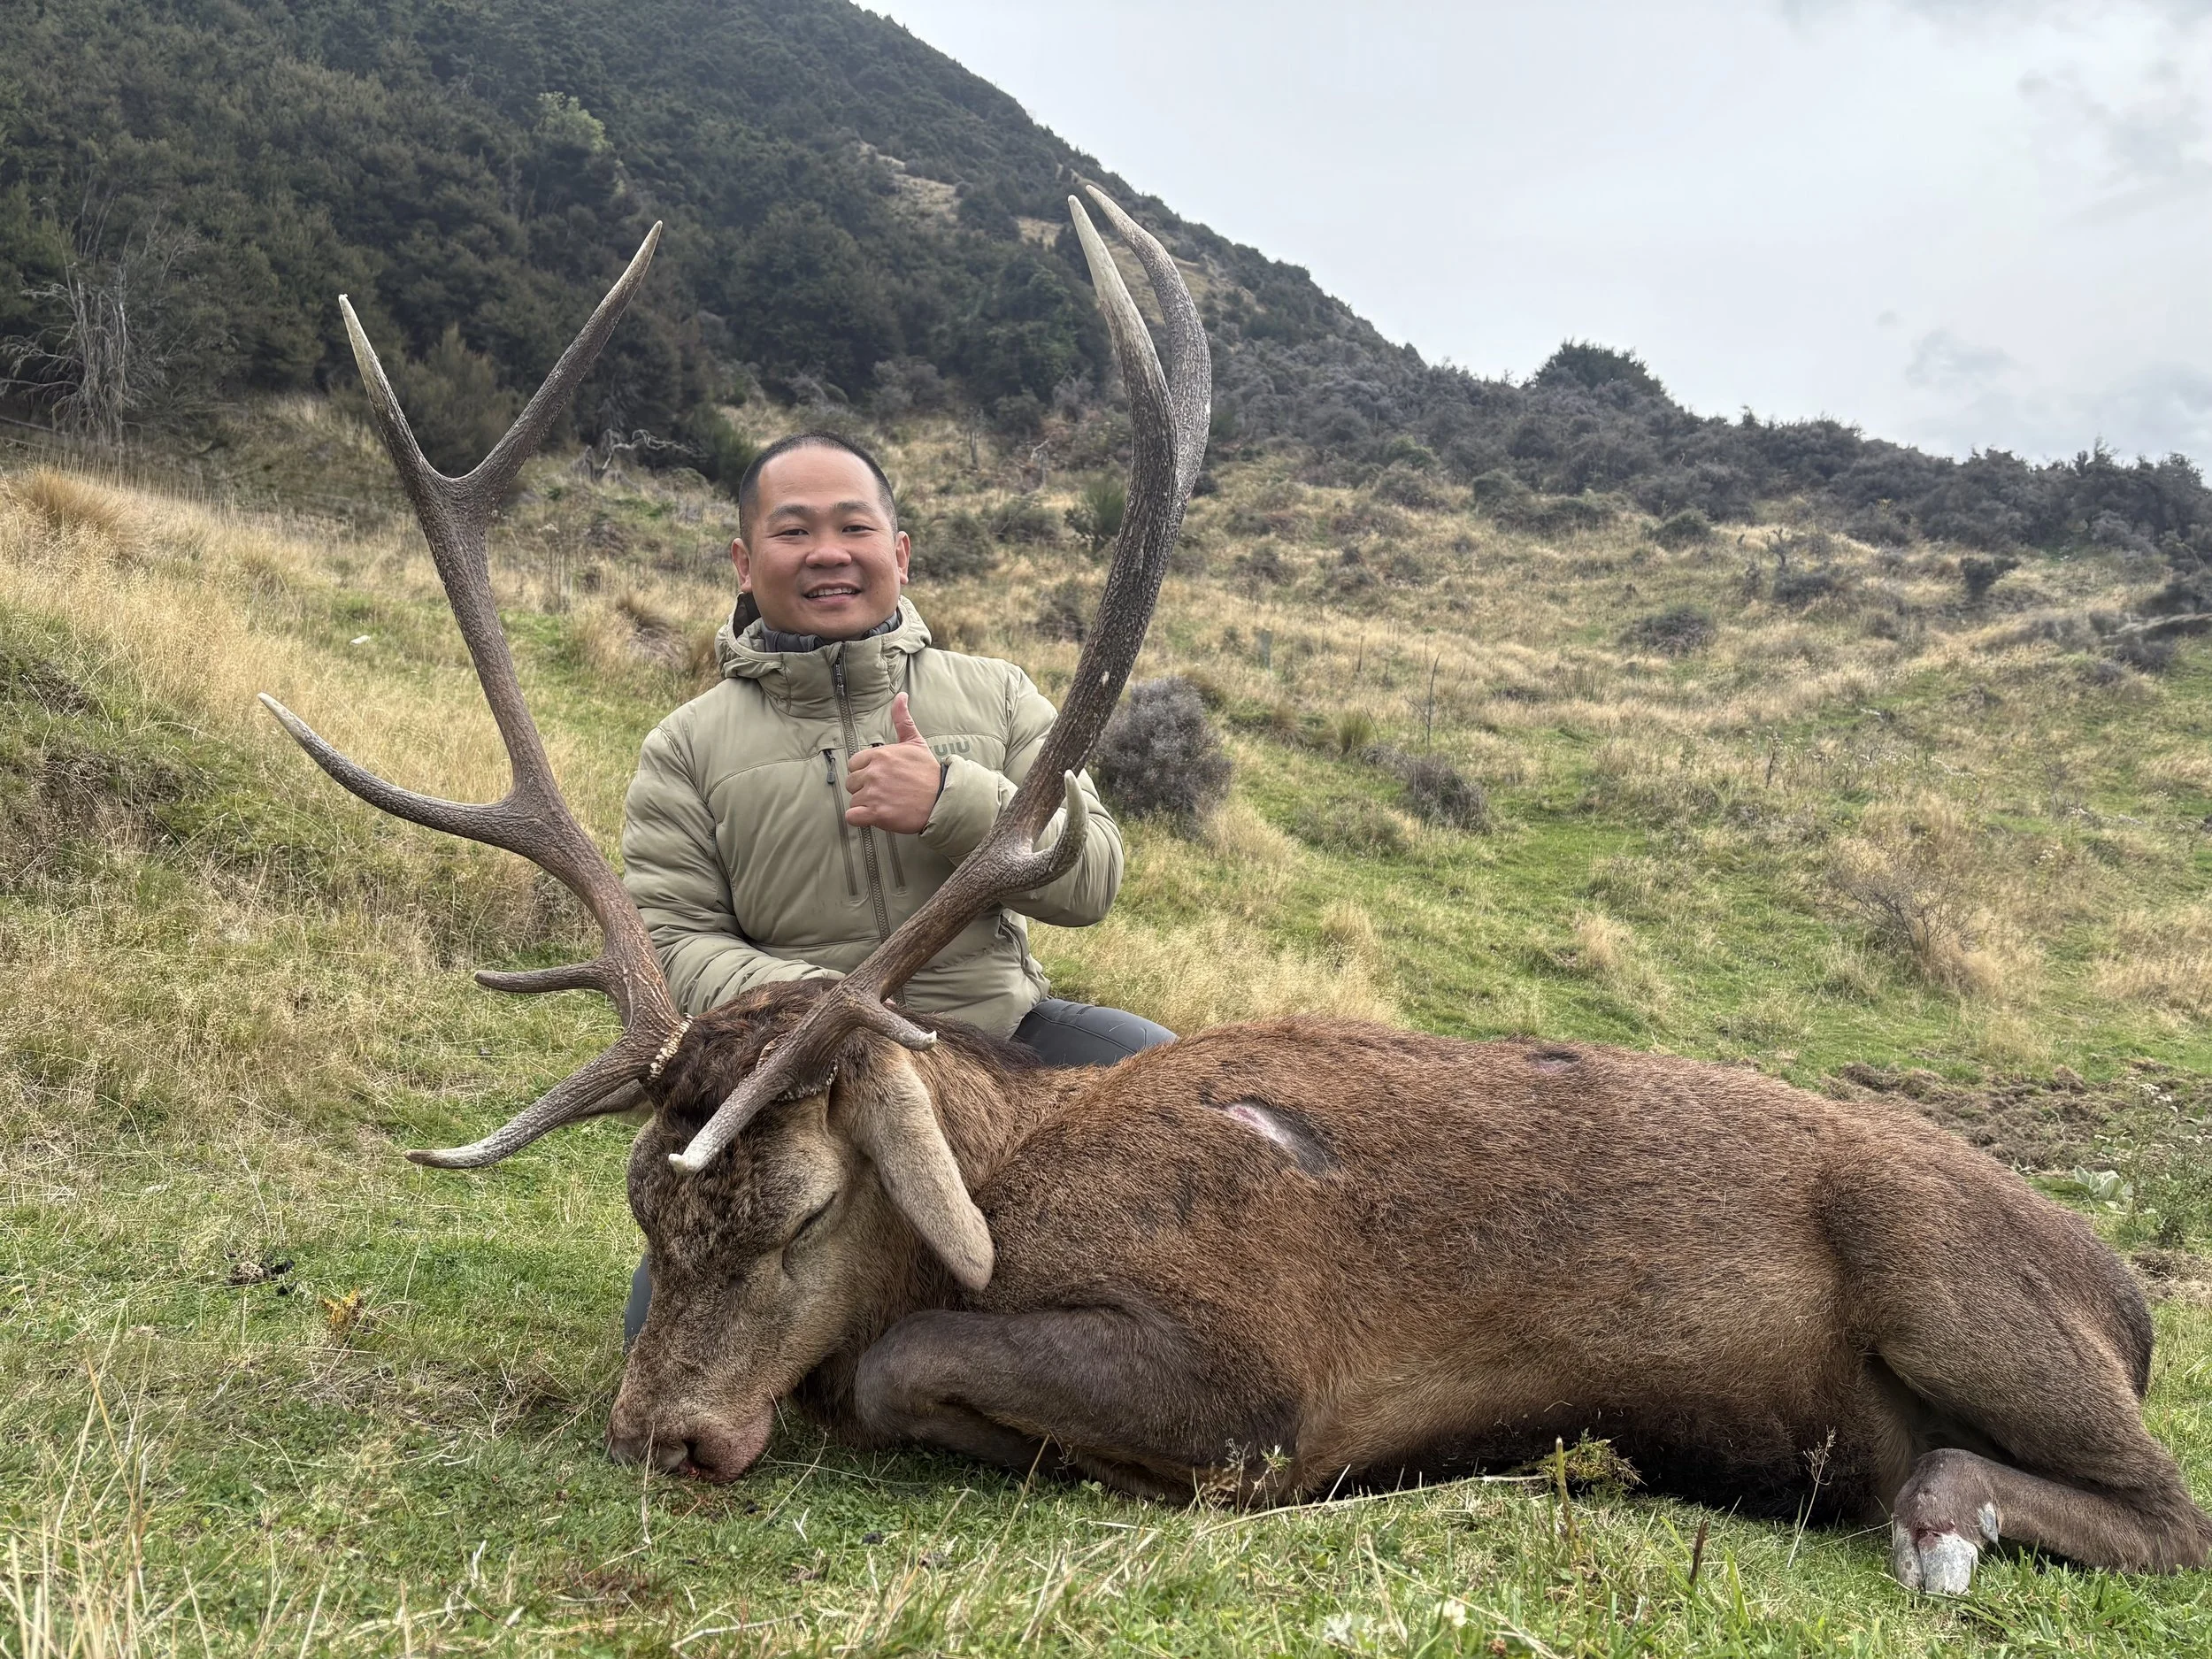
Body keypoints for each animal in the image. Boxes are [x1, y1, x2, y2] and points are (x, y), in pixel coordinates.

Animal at [260, 193, 2210, 1598]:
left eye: (806, 1207)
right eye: (642, 1215)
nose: (661, 1433)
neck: (1002, 1181)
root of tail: (2121, 1287)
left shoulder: (1249, 1361)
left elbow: (897, 1372)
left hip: (1957, 1281)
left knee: (2166, 1502)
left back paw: (1942, 1513)